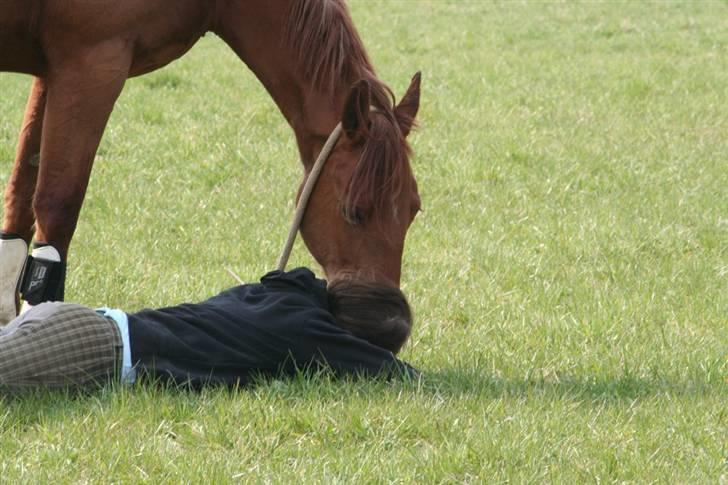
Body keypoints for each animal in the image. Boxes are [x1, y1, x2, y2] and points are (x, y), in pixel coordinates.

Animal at [0, 0, 420, 326]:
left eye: (413, 210)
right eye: (353, 212)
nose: (389, 327)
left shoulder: (53, 70)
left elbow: (22, 193)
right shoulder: (91, 63)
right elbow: (58, 202)